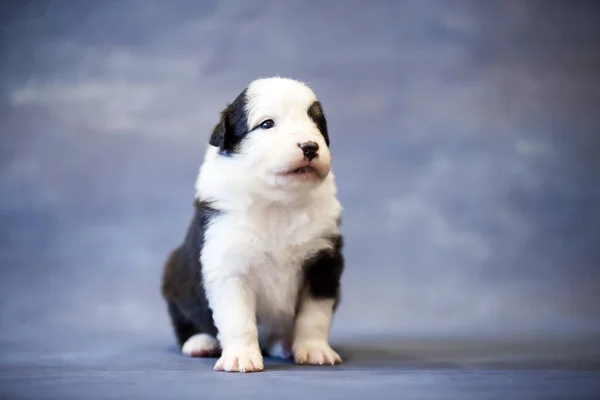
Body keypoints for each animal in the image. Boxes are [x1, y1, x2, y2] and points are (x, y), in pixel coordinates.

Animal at [162, 76, 344, 372]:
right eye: (267, 124)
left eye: (317, 123)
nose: (310, 147)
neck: (278, 202)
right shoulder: (229, 263)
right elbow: (238, 318)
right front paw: (240, 357)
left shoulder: (324, 259)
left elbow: (315, 315)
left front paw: (315, 350)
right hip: (174, 275)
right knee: (187, 322)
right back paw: (200, 343)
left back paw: (285, 346)